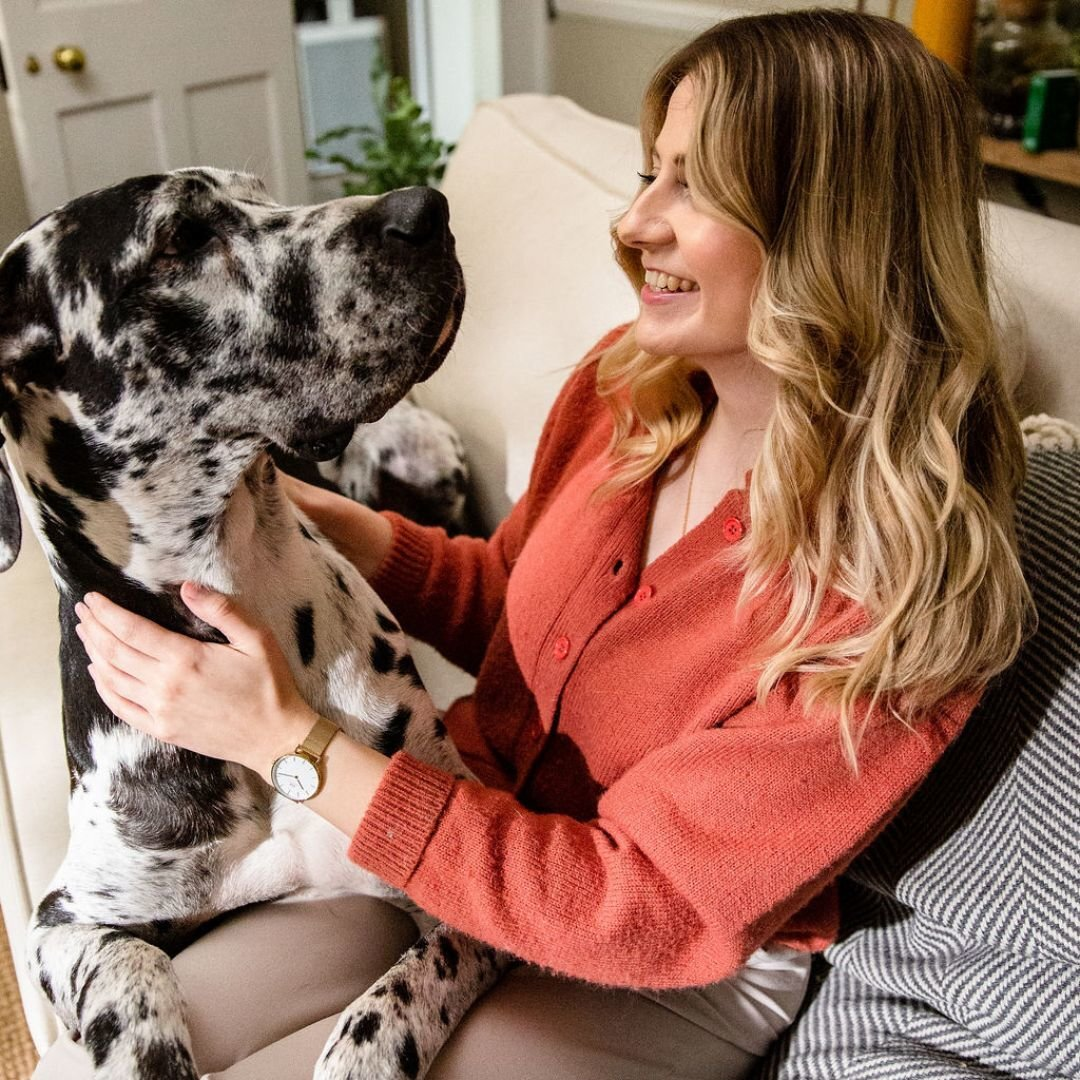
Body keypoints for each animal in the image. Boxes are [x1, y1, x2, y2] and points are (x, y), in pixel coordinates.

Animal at [0, 164, 509, 1075]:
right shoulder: (67, 918)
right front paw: (146, 1047)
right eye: (182, 238)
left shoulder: (449, 874)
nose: (427, 207)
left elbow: (401, 998)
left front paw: (359, 1048)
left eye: (260, 193)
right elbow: (131, 981)